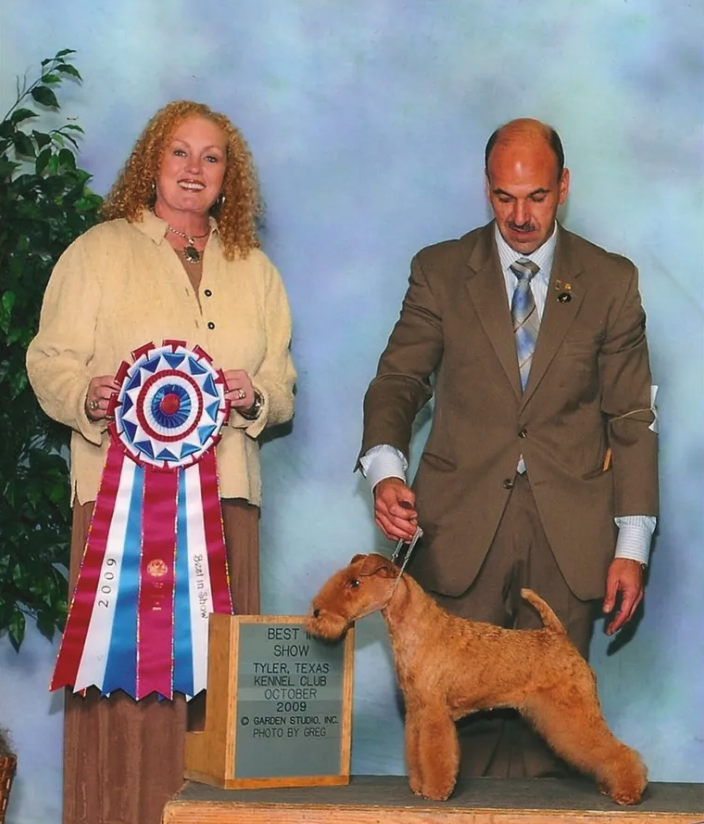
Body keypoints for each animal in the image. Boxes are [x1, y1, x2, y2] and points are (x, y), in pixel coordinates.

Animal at [305, 553, 647, 805]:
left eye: (354, 582)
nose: (317, 612)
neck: (417, 630)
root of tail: (556, 634)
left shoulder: (434, 713)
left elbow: (436, 754)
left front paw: (435, 792)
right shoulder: (417, 711)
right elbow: (416, 752)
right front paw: (419, 785)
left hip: (574, 710)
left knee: (615, 750)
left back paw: (628, 791)